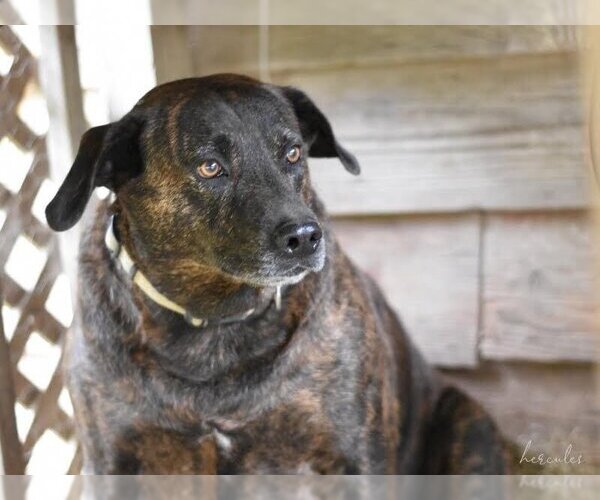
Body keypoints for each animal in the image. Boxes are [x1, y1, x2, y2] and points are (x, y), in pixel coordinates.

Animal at [44, 73, 508, 472]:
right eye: (210, 166)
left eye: (293, 153)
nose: (305, 237)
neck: (214, 324)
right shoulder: (112, 461)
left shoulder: (358, 458)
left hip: (470, 430)